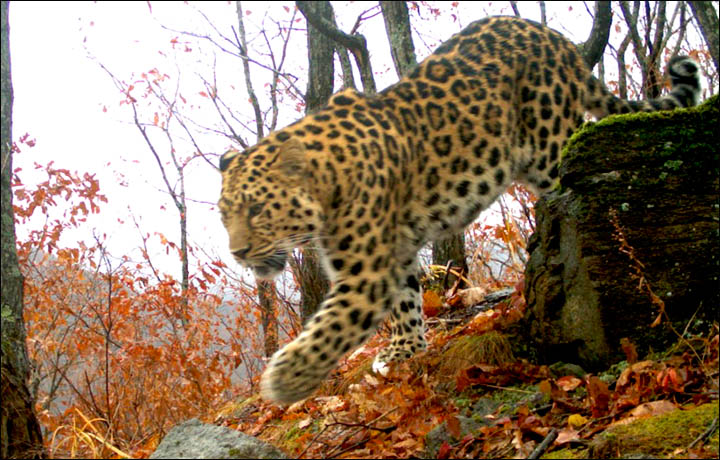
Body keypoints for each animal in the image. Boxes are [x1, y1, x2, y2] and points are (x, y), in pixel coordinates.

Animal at [217, 15, 700, 402]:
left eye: (257, 209)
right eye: (224, 214)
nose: (238, 252)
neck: (325, 185)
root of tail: (557, 40)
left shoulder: (366, 275)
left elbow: (332, 326)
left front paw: (285, 380)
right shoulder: (396, 253)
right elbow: (406, 302)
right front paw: (404, 350)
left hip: (550, 148)